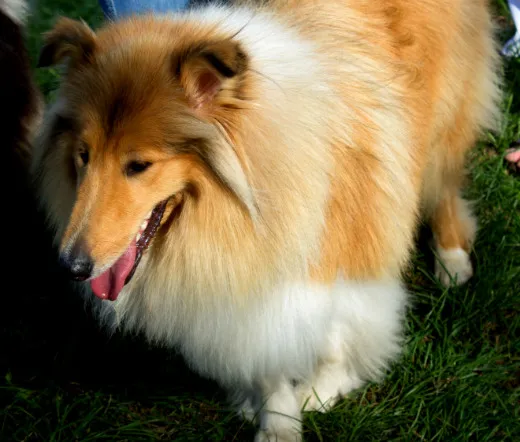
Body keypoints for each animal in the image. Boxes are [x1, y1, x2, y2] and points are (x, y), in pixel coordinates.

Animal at [32, 1, 502, 440]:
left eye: (139, 165)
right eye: (83, 155)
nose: (71, 266)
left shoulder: (342, 251)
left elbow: (337, 335)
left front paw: (319, 392)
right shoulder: (252, 275)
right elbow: (266, 355)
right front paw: (275, 417)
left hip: (443, 120)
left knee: (444, 185)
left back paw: (452, 261)